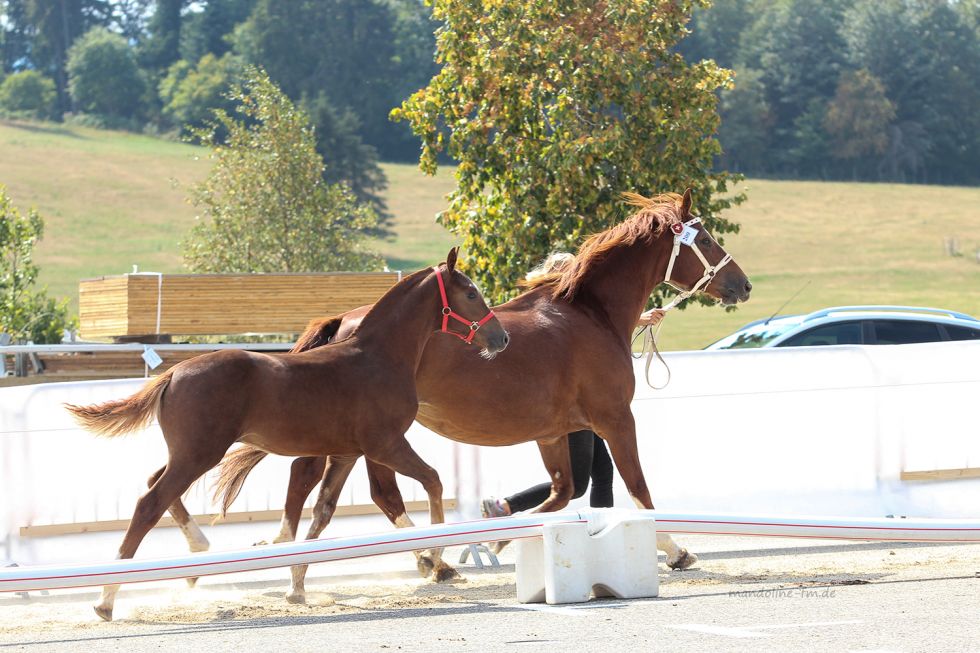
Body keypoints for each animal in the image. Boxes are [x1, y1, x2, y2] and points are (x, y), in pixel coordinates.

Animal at [64, 248, 509, 621]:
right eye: (471, 292)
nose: (500, 338)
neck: (378, 358)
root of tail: (172, 374)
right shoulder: (385, 444)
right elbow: (432, 481)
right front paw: (434, 557)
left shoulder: (346, 453)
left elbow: (322, 512)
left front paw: (296, 579)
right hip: (199, 454)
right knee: (149, 503)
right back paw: (106, 598)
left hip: (189, 453)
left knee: (157, 484)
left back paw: (196, 555)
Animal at [215, 189, 752, 602]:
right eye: (705, 239)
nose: (743, 285)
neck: (589, 315)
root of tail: (347, 320)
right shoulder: (615, 419)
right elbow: (638, 491)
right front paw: (678, 550)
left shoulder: (555, 433)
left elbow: (561, 494)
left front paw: (497, 543)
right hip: (375, 439)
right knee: (371, 491)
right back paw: (422, 561)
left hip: (353, 441)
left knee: (326, 492)